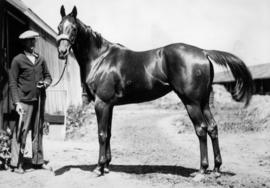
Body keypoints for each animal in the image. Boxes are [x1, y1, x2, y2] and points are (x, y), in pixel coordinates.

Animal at [56, 5, 253, 176]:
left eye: (74, 28)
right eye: (59, 27)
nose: (62, 52)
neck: (101, 58)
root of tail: (203, 52)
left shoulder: (101, 103)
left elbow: (102, 134)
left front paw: (99, 168)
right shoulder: (109, 105)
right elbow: (109, 133)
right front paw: (107, 165)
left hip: (192, 103)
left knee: (201, 129)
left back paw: (202, 170)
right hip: (204, 102)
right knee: (212, 127)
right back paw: (217, 169)